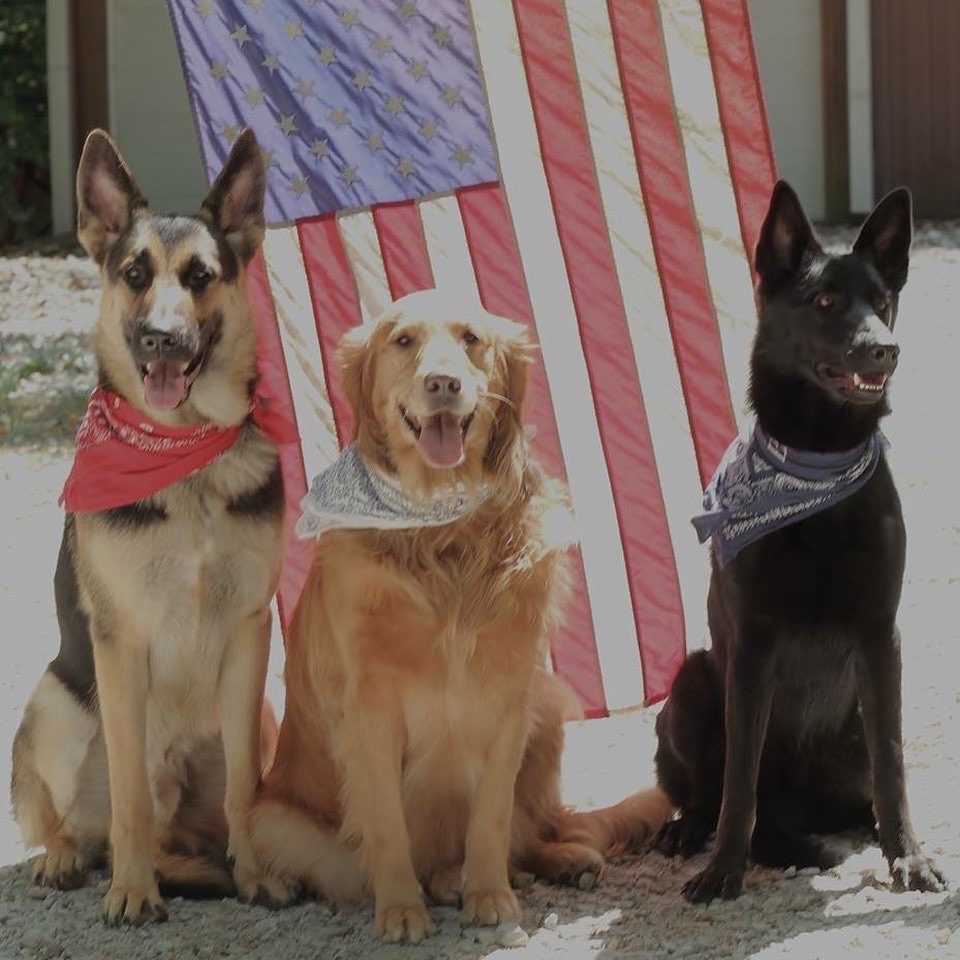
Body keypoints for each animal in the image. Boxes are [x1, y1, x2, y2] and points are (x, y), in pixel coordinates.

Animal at [10, 128, 290, 924]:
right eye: (135, 274)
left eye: (200, 276)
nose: (164, 338)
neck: (179, 456)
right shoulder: (121, 639)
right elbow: (129, 792)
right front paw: (133, 891)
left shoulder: (250, 628)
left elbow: (243, 790)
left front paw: (254, 874)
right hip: (54, 701)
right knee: (69, 821)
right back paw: (70, 859)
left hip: (258, 713)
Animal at [248, 290, 672, 942]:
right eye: (402, 341)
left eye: (472, 339)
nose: (443, 382)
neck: (443, 532)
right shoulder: (369, 710)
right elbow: (388, 828)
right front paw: (401, 910)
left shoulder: (509, 698)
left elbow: (492, 820)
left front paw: (490, 894)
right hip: (271, 818)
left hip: (548, 705)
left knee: (532, 831)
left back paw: (547, 863)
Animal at [653, 181, 946, 903]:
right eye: (825, 300)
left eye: (883, 300)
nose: (885, 349)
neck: (818, 464)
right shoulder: (752, 644)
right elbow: (738, 781)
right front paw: (724, 870)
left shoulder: (880, 635)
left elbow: (893, 770)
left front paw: (908, 857)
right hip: (692, 682)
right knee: (710, 789)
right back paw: (690, 828)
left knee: (867, 786)